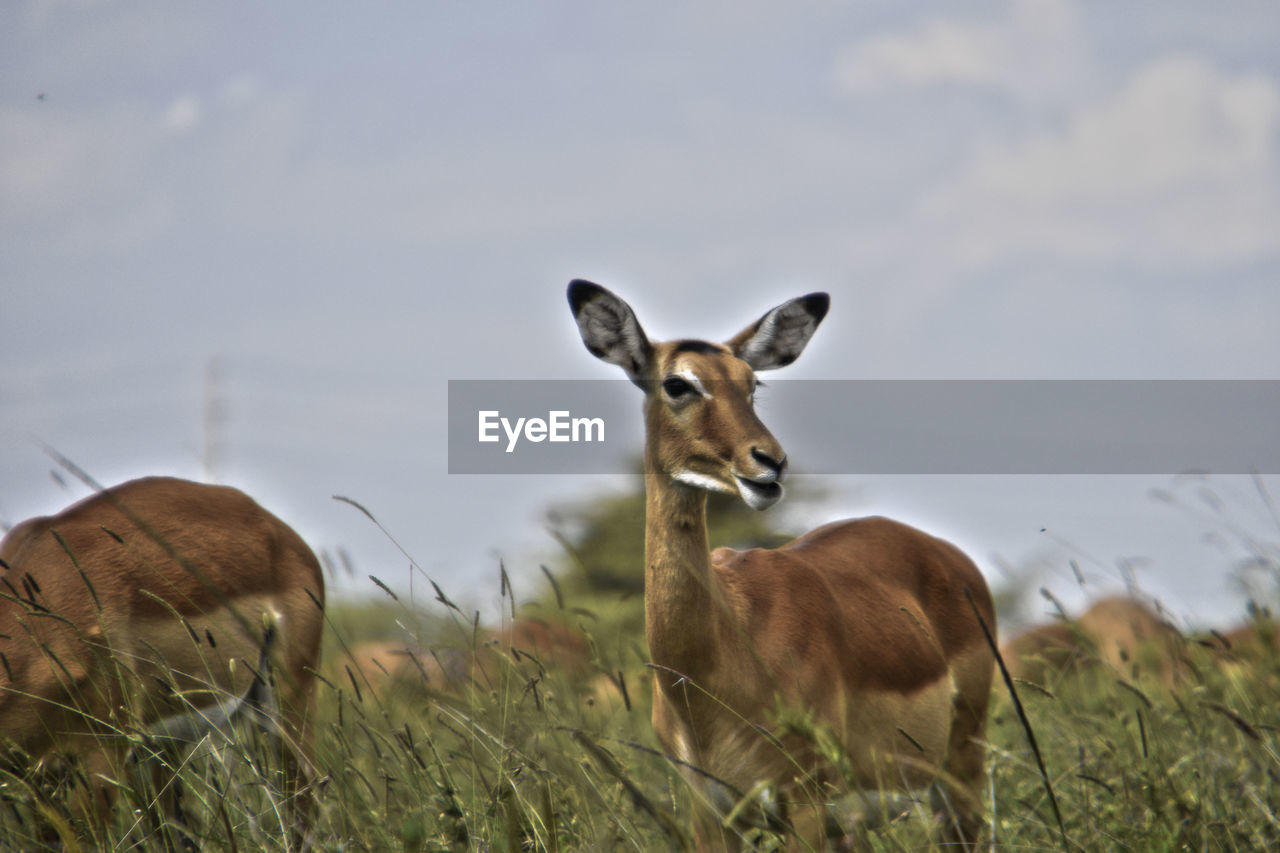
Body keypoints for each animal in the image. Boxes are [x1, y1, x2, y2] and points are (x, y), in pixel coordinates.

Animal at [570, 279, 998, 845]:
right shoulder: (710, 815)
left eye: (752, 383)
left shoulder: (805, 803)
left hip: (959, 771)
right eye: (677, 383)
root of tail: (950, 557)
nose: (769, 462)